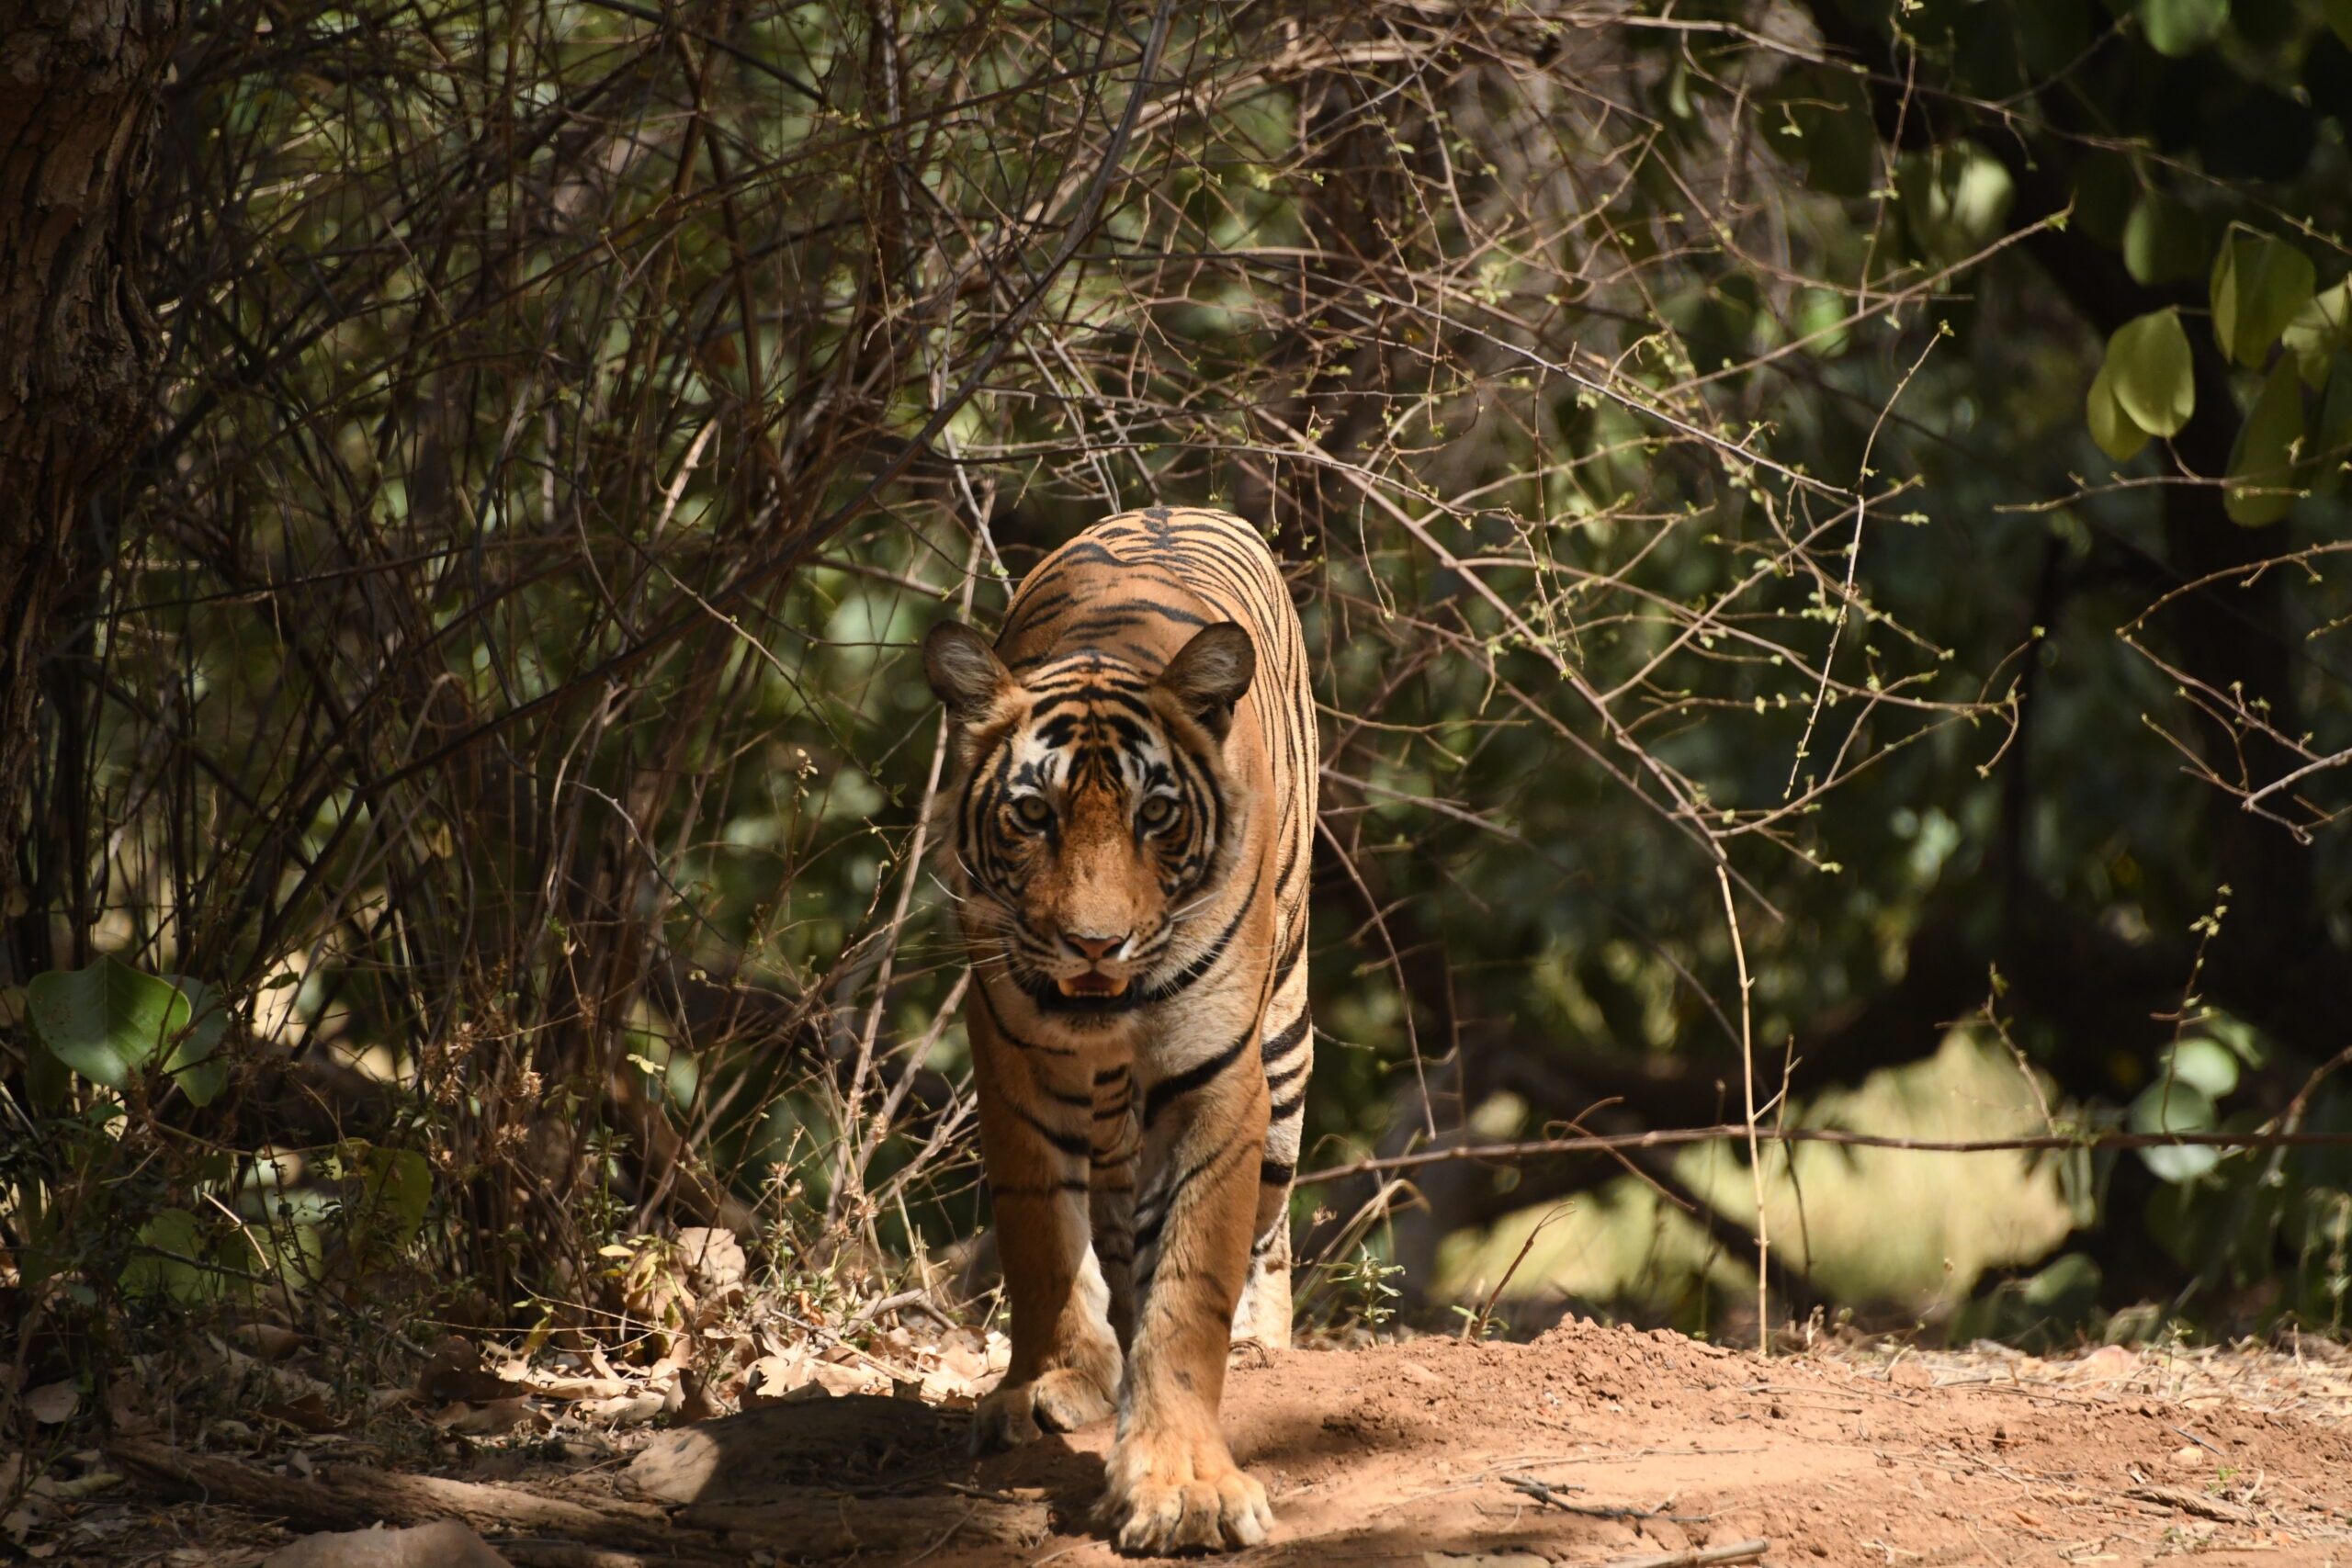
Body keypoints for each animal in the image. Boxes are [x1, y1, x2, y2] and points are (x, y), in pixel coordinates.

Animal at [922, 510, 1326, 1551]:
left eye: (1157, 816)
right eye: (1033, 814)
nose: (1095, 944)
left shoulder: (1216, 1073)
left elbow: (1189, 1289)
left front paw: (1182, 1486)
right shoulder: (1013, 1057)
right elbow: (1041, 1237)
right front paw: (1052, 1382)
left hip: (1286, 1042)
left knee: (1269, 1226)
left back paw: (1262, 1342)